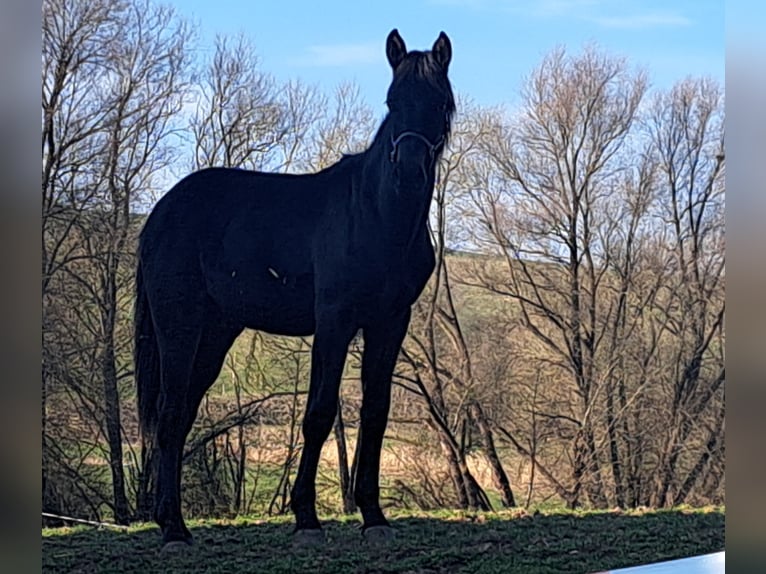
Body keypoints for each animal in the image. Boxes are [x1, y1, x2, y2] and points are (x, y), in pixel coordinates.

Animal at [134, 28, 455, 550]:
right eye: (393, 100)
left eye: (440, 103)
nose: (409, 172)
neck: (375, 216)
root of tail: (162, 211)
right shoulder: (334, 321)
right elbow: (320, 412)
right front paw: (305, 516)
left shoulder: (389, 322)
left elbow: (376, 411)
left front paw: (373, 515)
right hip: (178, 326)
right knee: (170, 411)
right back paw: (175, 529)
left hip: (215, 333)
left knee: (180, 418)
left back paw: (169, 521)